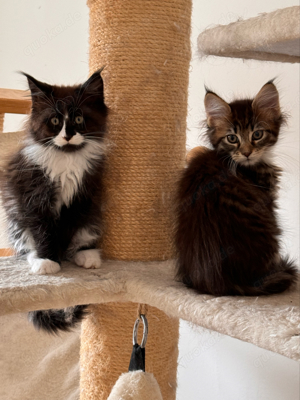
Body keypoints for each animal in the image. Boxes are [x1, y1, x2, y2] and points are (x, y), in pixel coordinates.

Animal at [0, 70, 108, 332]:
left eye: (78, 119)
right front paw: (49, 259)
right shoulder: (33, 197)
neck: (67, 159)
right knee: (24, 247)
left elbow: (68, 228)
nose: (68, 135)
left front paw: (63, 254)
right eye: (56, 122)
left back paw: (86, 256)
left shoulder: (83, 195)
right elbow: (43, 230)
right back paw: (38, 259)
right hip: (16, 218)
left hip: (93, 213)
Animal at [176, 81, 298, 296]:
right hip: (271, 231)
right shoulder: (268, 199)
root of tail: (227, 283)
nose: (247, 153)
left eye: (257, 134)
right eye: (232, 138)